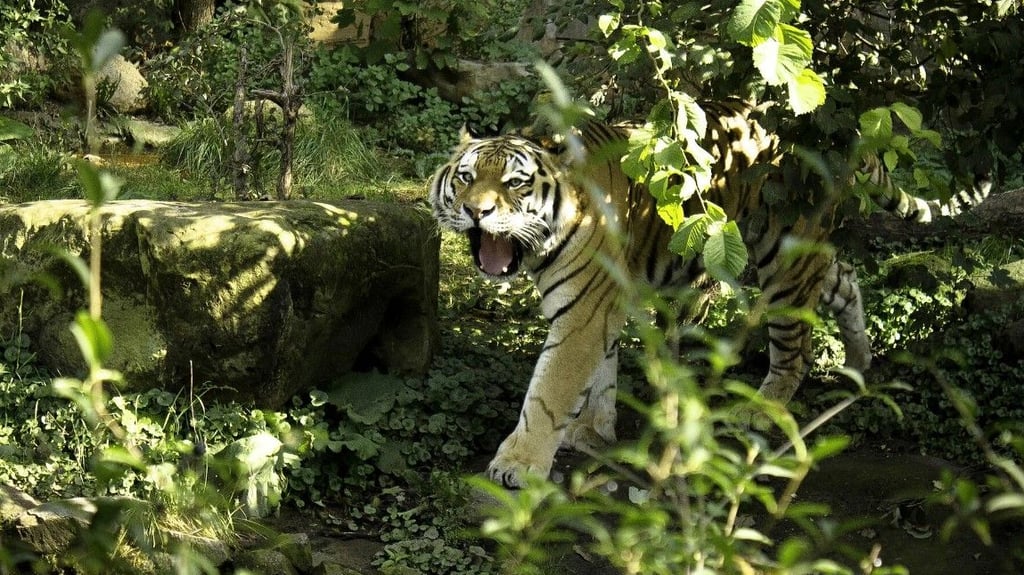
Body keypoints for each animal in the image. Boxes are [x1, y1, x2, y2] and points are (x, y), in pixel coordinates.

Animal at [428, 99, 992, 489]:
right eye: (466, 177)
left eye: (515, 184)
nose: (476, 212)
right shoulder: (603, 304)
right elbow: (600, 374)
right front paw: (594, 432)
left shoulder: (583, 310)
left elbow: (549, 391)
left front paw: (518, 463)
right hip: (800, 255)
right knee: (845, 279)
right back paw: (859, 365)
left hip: (782, 260)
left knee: (796, 350)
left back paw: (760, 409)